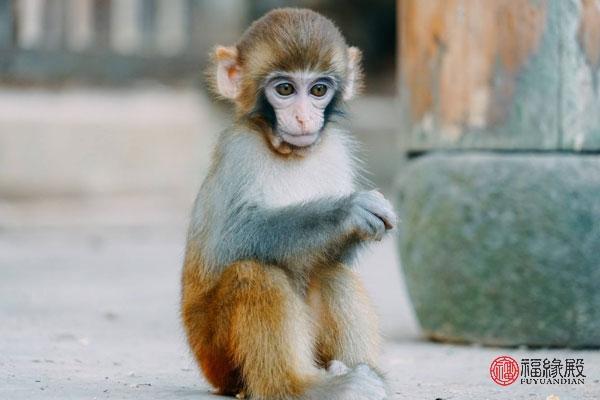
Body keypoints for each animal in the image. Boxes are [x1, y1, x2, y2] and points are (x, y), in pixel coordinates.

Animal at [183, 7, 398, 400]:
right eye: (285, 89)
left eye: (318, 90)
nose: (303, 117)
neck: (288, 151)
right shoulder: (240, 149)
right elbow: (230, 240)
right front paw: (345, 211)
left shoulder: (336, 149)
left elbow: (338, 259)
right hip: (217, 357)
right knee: (254, 272)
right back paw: (300, 387)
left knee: (330, 270)